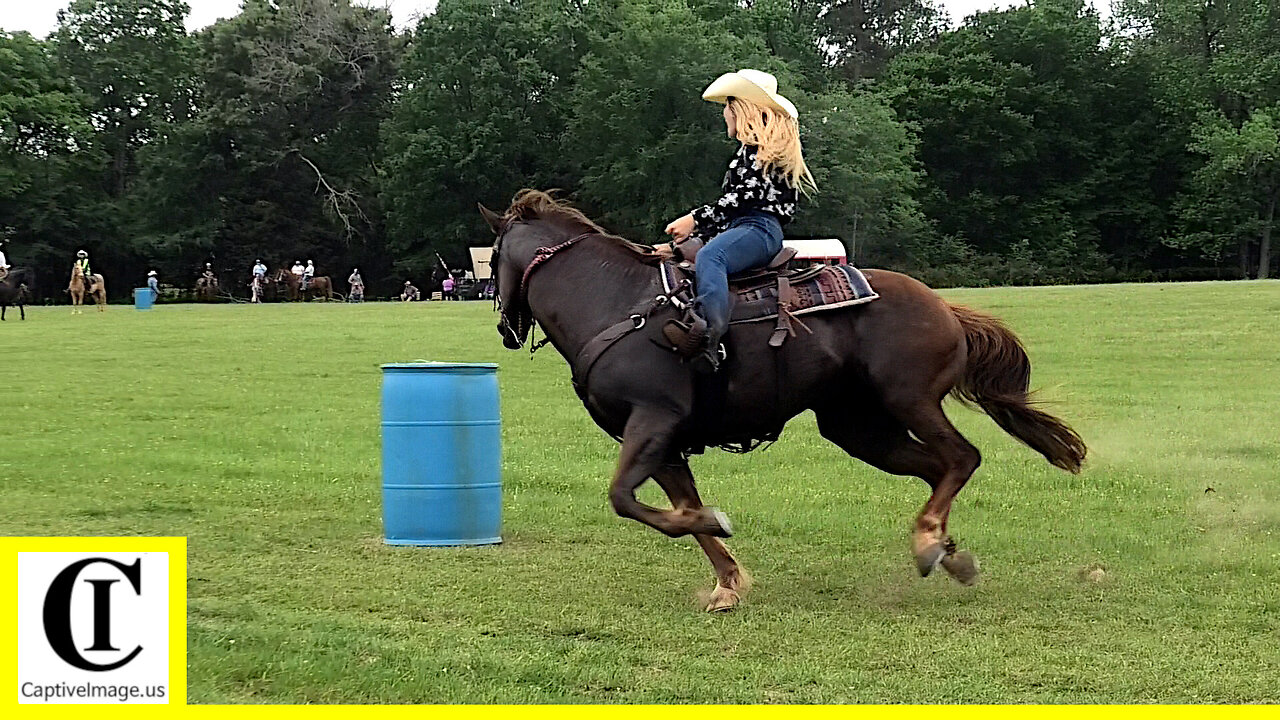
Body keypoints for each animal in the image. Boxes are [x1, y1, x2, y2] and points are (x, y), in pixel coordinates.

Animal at [481, 192, 1090, 609]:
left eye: (492, 260)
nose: (505, 329)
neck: (614, 302)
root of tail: (943, 306)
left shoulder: (653, 421)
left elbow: (625, 499)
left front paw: (718, 524)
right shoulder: (667, 444)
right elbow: (680, 511)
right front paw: (727, 582)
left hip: (909, 399)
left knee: (962, 457)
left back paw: (928, 544)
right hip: (857, 428)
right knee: (936, 467)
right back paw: (948, 551)